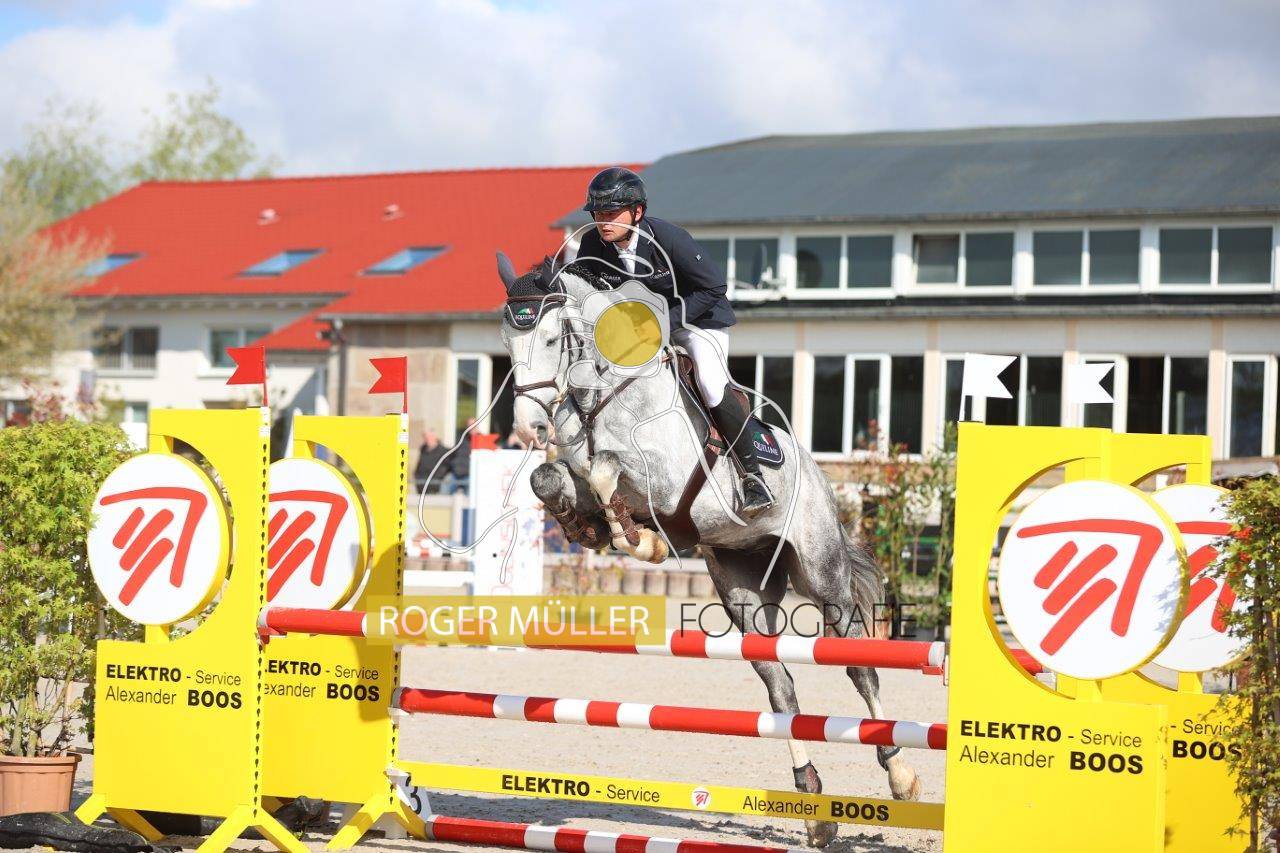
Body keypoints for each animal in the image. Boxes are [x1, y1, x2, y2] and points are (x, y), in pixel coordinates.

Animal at [495, 255, 921, 847]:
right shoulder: (577, 470)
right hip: (742, 588)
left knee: (860, 666)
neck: (600, 393)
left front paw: (641, 540)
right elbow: (552, 477)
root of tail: (820, 478)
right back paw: (815, 807)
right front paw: (592, 529)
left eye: (554, 337)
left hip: (822, 574)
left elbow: (607, 470)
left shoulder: (664, 478)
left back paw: (900, 773)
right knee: (781, 687)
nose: (528, 426)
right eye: (507, 342)